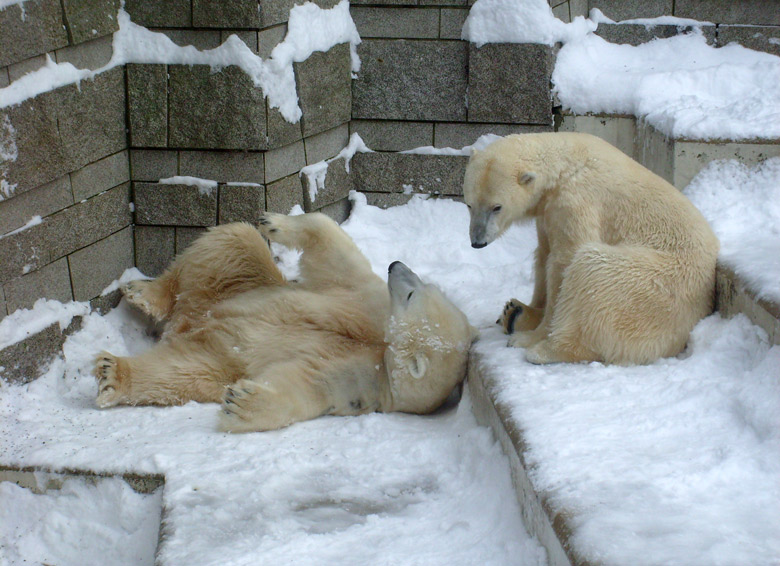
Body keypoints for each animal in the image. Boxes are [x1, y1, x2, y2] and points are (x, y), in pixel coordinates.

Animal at [96, 214, 476, 434]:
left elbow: (305, 386)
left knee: (180, 369)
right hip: (239, 283)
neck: (381, 342)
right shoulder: (366, 299)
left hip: (218, 358)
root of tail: (187, 321)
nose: (396, 265)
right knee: (232, 242)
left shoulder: (365, 379)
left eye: (413, 294)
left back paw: (113, 372)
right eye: (421, 288)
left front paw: (242, 403)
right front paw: (275, 222)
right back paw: (146, 292)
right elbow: (337, 258)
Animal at [464, 132, 720, 368]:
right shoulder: (548, 212)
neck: (565, 166)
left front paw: (531, 336)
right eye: (469, 204)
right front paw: (528, 310)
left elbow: (563, 262)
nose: (477, 242)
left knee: (592, 273)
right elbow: (544, 254)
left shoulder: (576, 202)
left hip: (656, 285)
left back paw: (544, 349)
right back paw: (514, 313)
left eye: (497, 207)